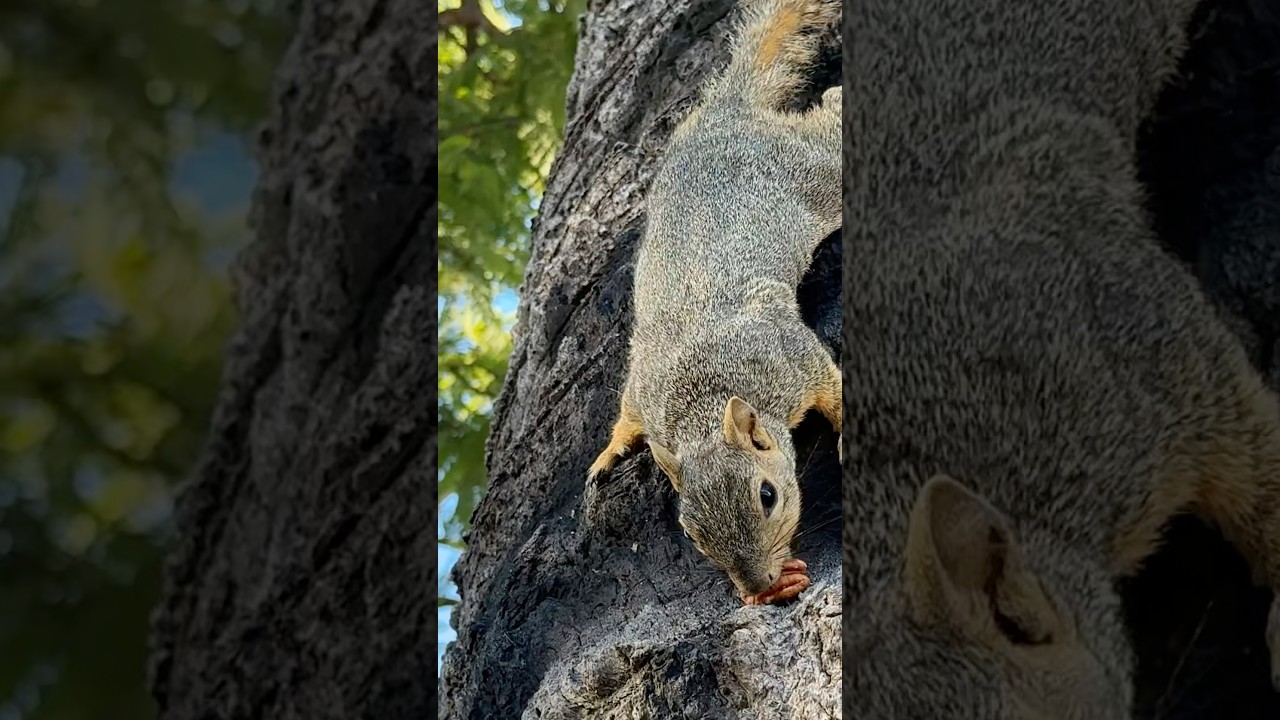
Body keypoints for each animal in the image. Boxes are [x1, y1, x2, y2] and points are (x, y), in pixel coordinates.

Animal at [586, 0, 843, 606]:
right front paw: (611, 449)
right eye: (692, 534)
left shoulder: (795, 361)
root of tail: (725, 117)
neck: (701, 401)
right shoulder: (647, 391)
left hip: (816, 173)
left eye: (768, 495)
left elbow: (835, 388)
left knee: (831, 118)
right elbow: (627, 413)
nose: (759, 582)